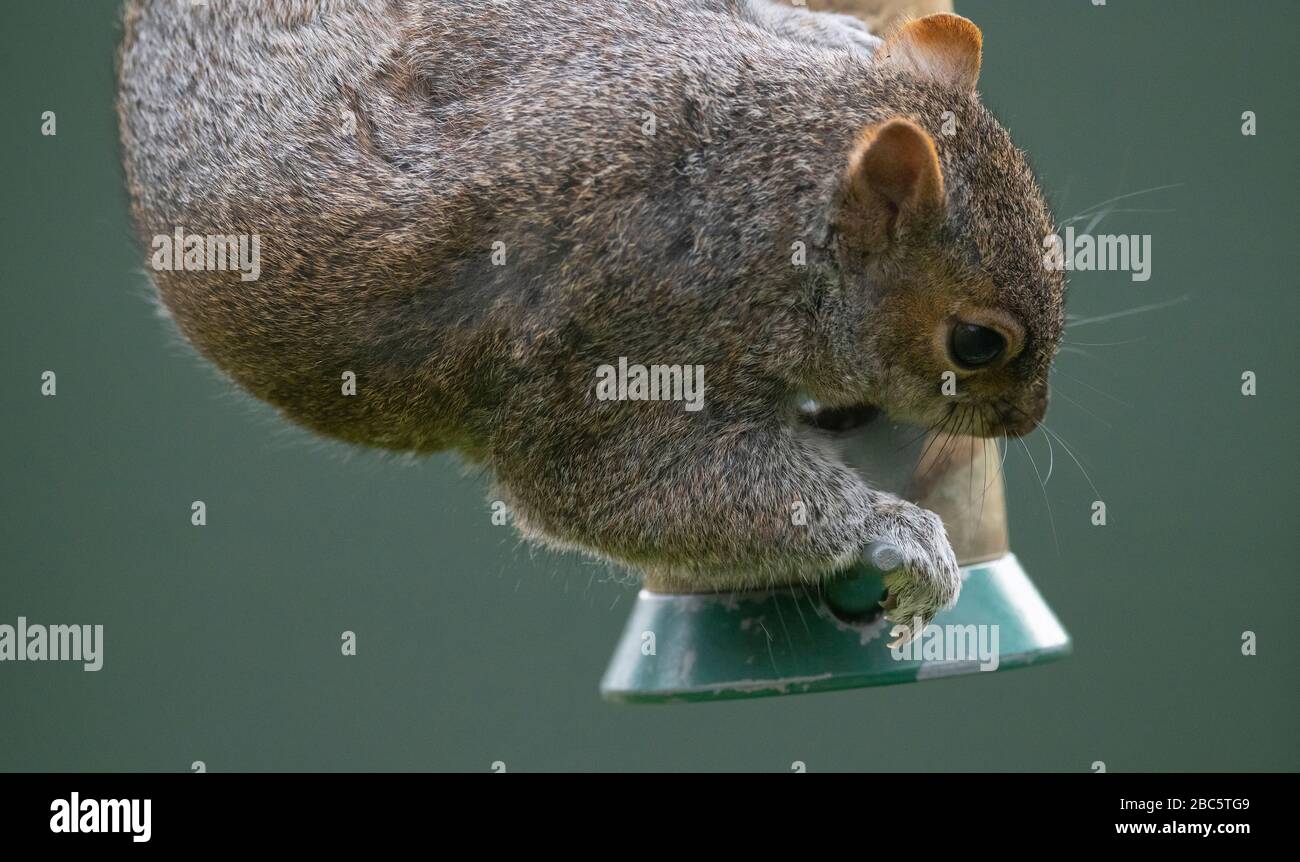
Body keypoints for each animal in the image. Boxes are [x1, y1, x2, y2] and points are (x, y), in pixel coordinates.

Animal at [116, 0, 1060, 634]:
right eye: (976, 343)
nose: (1025, 420)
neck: (753, 182)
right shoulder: (617, 346)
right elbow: (622, 489)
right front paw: (898, 534)